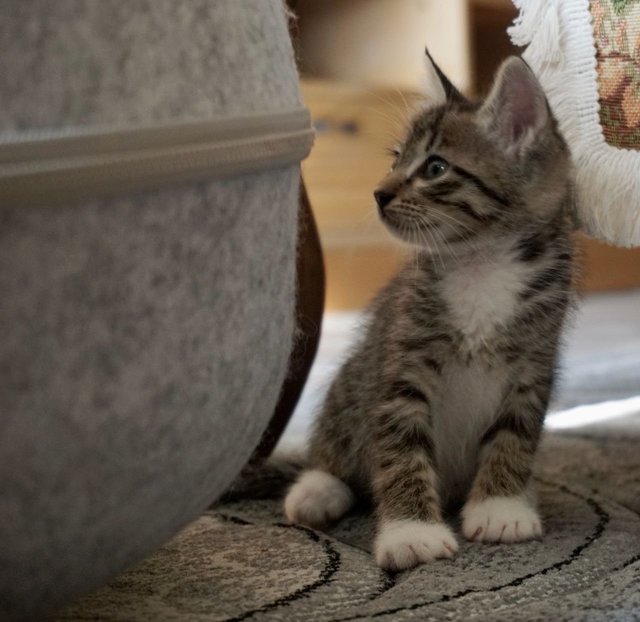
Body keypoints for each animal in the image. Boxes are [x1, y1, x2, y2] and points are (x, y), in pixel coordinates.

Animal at [284, 53, 576, 572]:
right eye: (395, 159)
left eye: (435, 167)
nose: (378, 193)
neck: (482, 261)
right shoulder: (402, 360)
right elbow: (400, 447)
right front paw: (411, 532)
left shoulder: (534, 362)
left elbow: (516, 434)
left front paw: (501, 506)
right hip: (354, 379)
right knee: (334, 446)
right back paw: (317, 490)